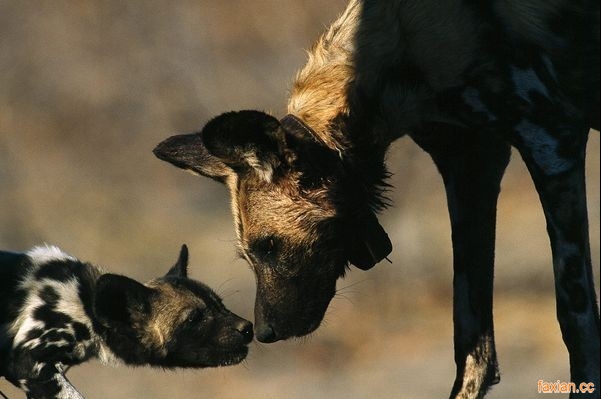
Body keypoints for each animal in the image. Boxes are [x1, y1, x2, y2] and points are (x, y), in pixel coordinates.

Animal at [154, 0, 596, 398]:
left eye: (270, 245)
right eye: (249, 255)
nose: (262, 332)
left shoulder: (552, 145)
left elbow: (577, 322)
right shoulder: (472, 168)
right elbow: (473, 351)